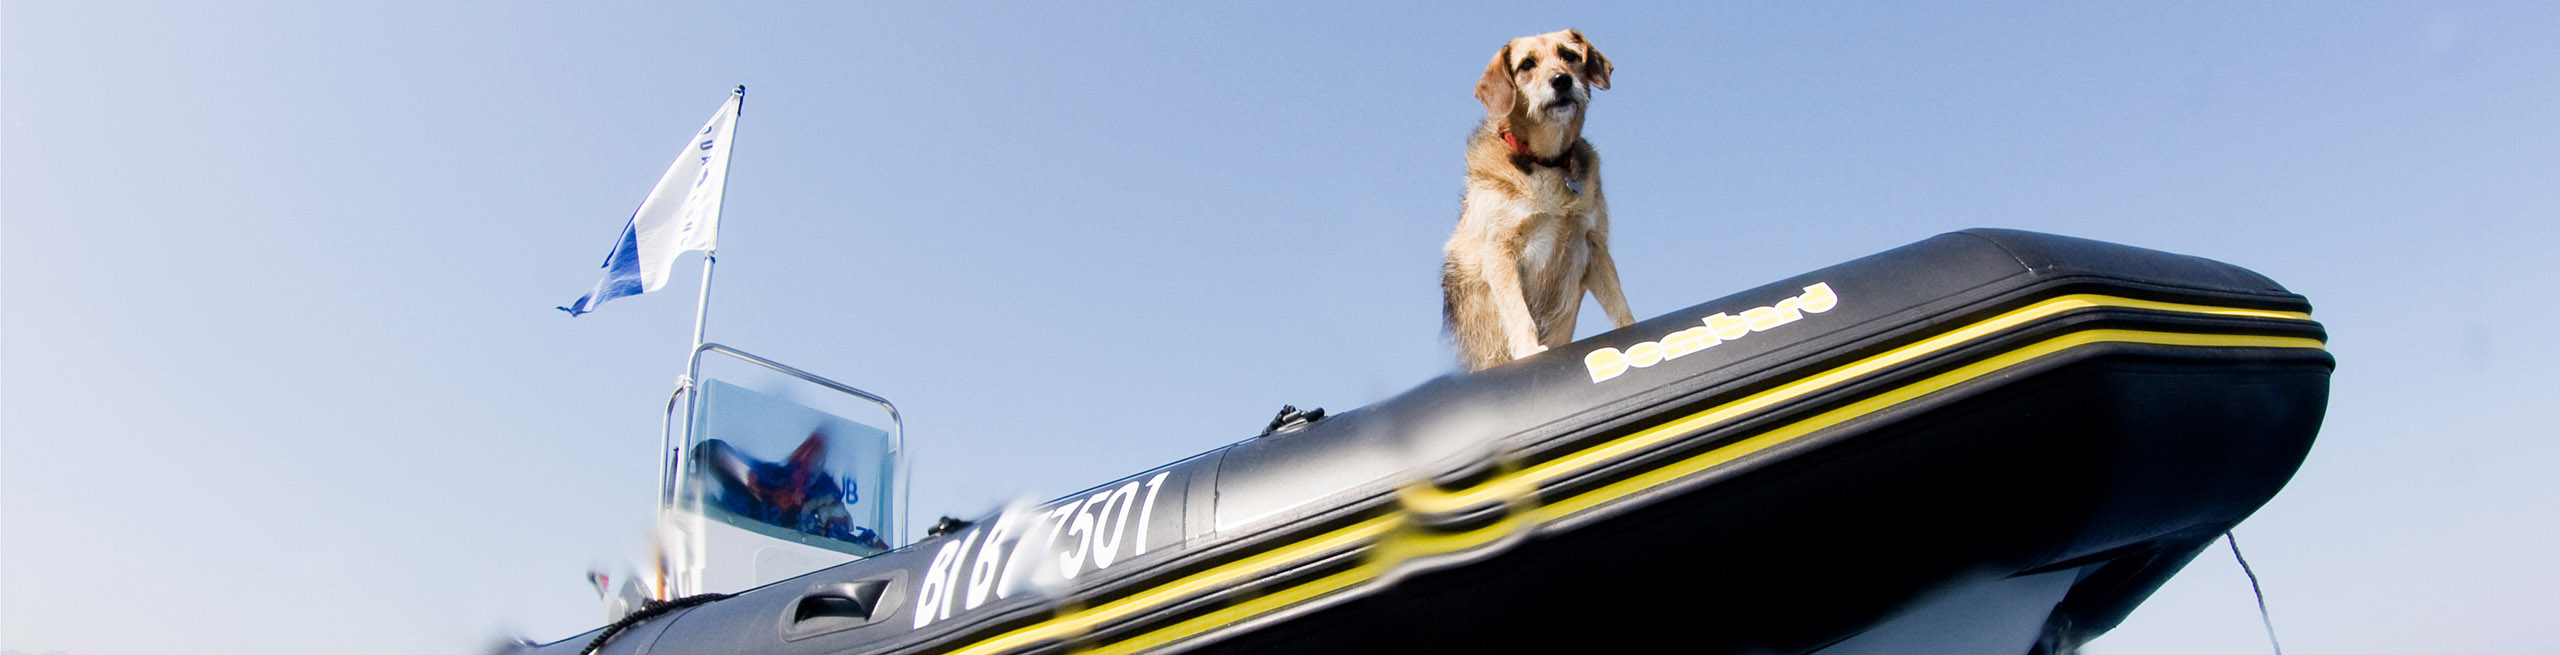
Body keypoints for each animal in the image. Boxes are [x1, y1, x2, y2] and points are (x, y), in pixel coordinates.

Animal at [1443, 30, 1638, 370]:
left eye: (1569, 55)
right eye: (1527, 64)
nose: (1561, 81)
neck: (1548, 162)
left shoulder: (1595, 245)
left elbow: (1619, 303)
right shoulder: (1500, 252)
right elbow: (1518, 312)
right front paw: (1529, 350)